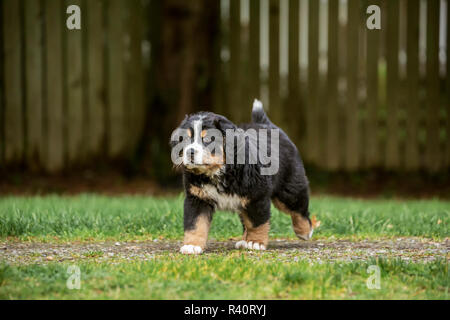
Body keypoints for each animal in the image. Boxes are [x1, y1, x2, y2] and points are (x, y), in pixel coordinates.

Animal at [170, 99, 312, 254]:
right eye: (185, 139)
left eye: (207, 139)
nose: (189, 152)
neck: (218, 172)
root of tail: (265, 124)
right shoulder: (197, 198)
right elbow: (195, 223)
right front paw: (192, 245)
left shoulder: (256, 196)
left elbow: (257, 223)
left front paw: (255, 242)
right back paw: (244, 241)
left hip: (288, 188)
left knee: (298, 208)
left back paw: (305, 231)